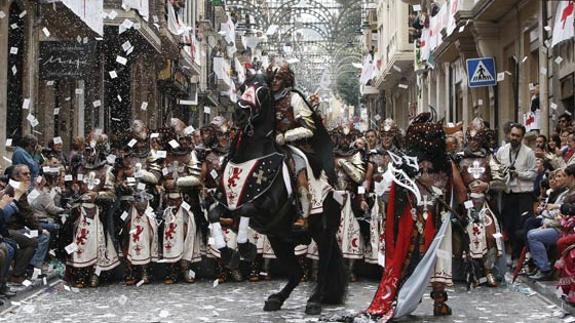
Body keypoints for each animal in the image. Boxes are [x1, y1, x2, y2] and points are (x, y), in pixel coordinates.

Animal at [210, 74, 348, 316]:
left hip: (323, 233)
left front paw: (245, 248)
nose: (240, 113)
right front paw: (228, 253)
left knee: (322, 269)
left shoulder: (268, 207)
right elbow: (213, 213)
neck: (251, 155)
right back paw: (276, 299)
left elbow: (247, 208)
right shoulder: (227, 205)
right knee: (295, 273)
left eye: (262, 92)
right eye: (244, 87)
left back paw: (314, 301)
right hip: (279, 239)